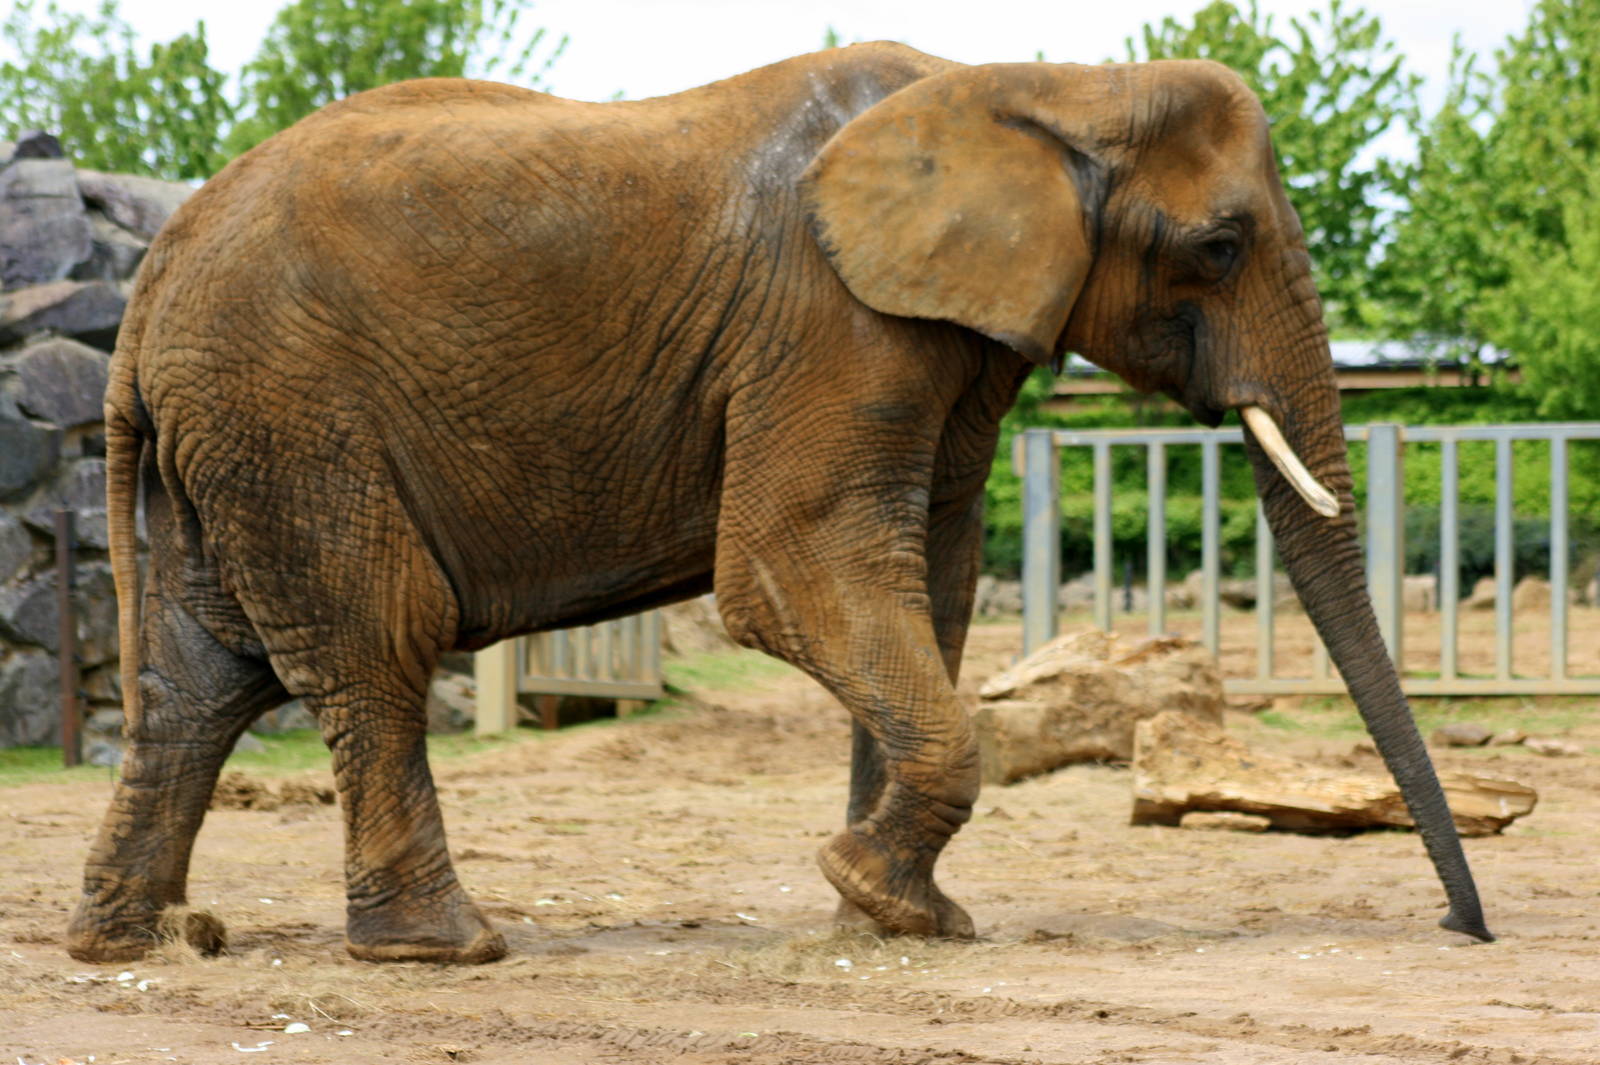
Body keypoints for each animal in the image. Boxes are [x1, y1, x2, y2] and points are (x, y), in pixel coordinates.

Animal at [66, 41, 1490, 965]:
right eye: (1219, 245)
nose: (1460, 927)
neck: (1049, 80)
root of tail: (149, 284)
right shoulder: (829, 319)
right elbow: (797, 569)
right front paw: (884, 901)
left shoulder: (937, 336)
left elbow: (926, 583)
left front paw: (888, 916)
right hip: (291, 412)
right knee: (373, 644)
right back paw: (446, 951)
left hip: (230, 431)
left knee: (204, 681)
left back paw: (137, 943)